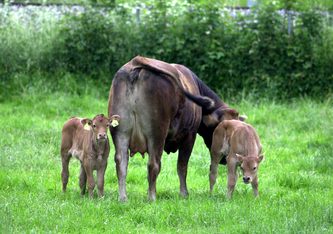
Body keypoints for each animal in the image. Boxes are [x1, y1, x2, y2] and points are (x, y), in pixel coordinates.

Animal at [108, 55, 244, 201]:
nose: (227, 159)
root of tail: (136, 61)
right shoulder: (189, 136)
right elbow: (182, 167)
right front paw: (184, 194)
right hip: (156, 135)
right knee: (153, 164)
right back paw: (151, 198)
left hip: (121, 133)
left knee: (121, 163)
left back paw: (123, 198)